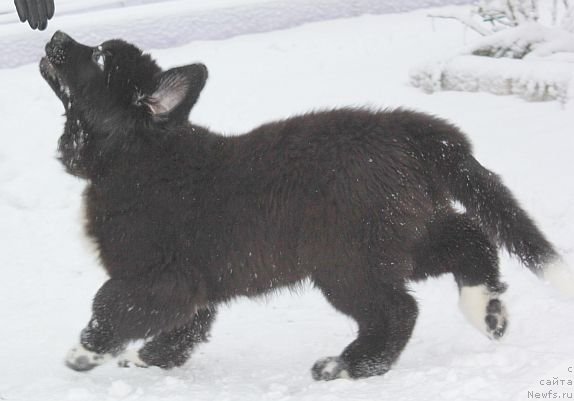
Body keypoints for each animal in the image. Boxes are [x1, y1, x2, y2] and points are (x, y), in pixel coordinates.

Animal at [40, 30, 574, 378]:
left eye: (101, 59)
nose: (57, 35)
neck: (138, 154)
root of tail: (415, 133)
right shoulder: (191, 284)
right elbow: (187, 326)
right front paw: (148, 361)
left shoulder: (158, 277)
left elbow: (111, 305)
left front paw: (85, 354)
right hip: (399, 235)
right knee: (468, 240)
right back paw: (487, 311)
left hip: (348, 259)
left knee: (398, 309)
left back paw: (350, 366)